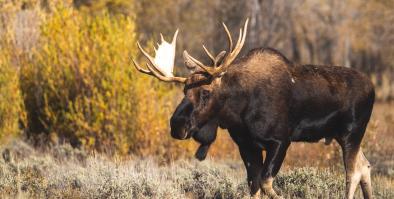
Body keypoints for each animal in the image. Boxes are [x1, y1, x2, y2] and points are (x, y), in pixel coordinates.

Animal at [131, 19, 374, 199]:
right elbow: (254, 186)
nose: (177, 125)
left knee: (352, 172)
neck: (238, 112)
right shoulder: (246, 145)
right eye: (184, 91)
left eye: (206, 92)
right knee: (365, 166)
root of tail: (372, 88)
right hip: (342, 135)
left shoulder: (280, 141)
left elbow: (266, 183)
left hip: (352, 132)